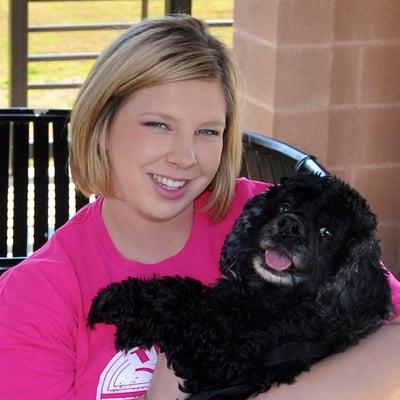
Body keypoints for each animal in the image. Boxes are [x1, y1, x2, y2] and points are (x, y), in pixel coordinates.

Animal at [88, 175, 394, 400]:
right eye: (284, 206)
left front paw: (112, 301)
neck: (269, 296)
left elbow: (183, 300)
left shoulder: (217, 360)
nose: (290, 225)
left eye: (327, 232)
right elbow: (191, 294)